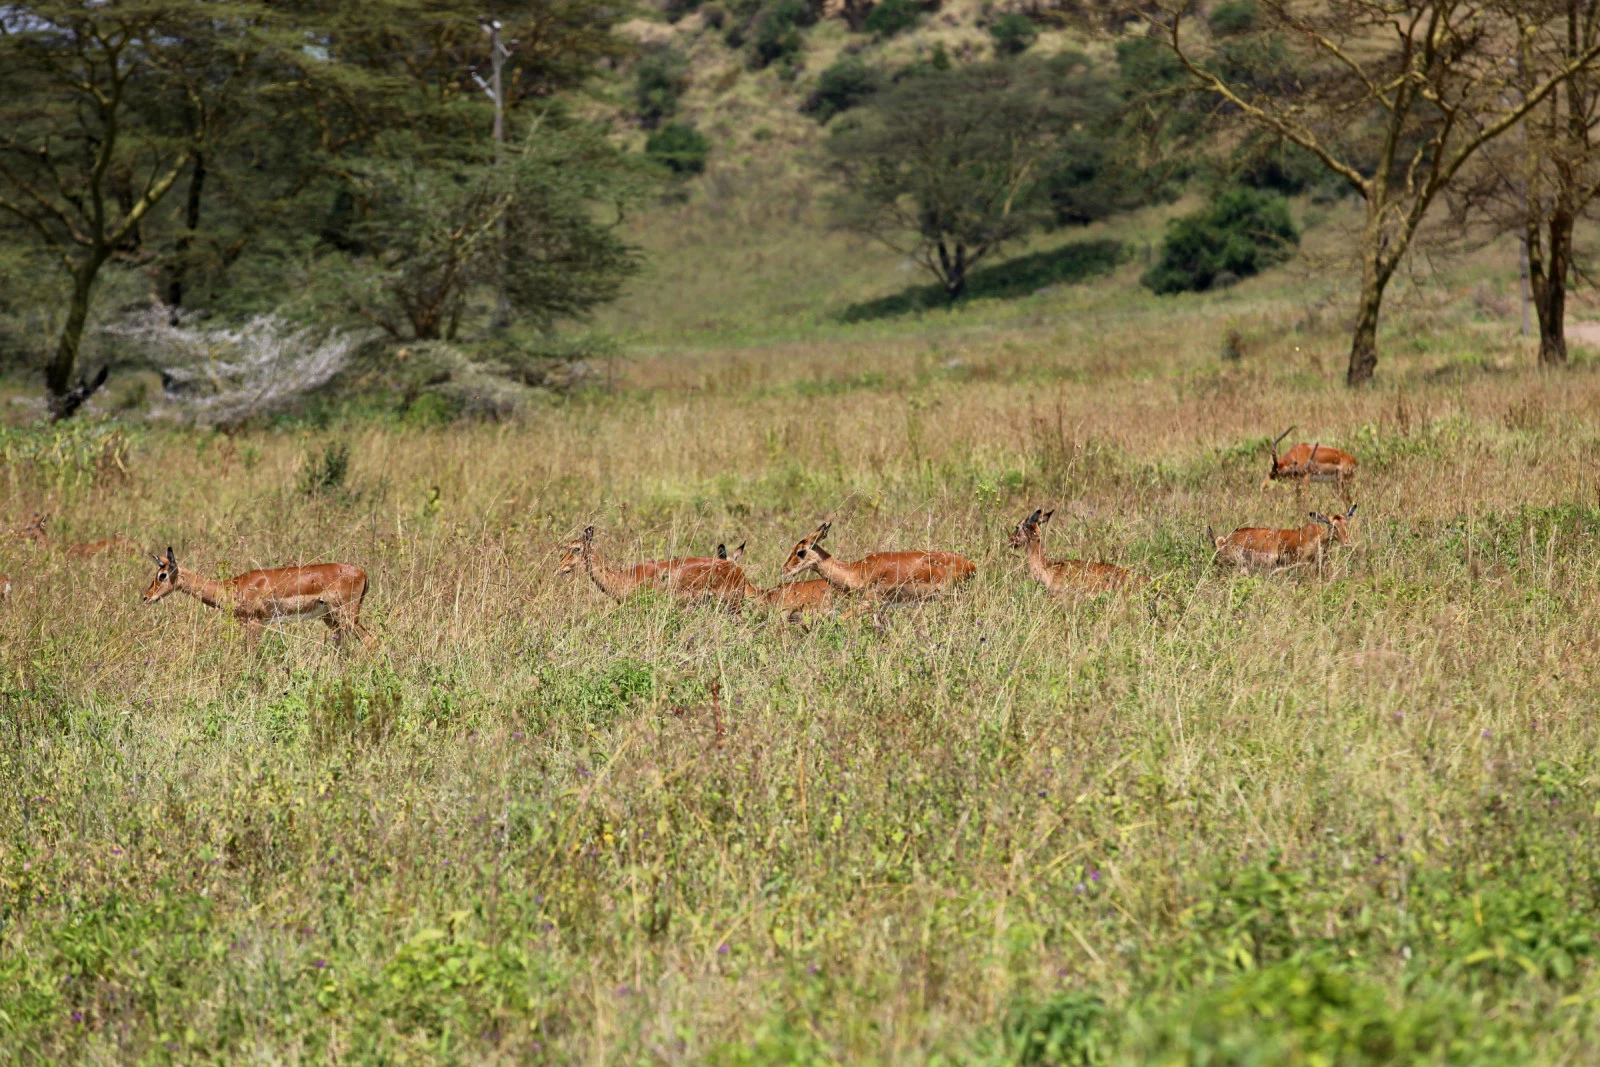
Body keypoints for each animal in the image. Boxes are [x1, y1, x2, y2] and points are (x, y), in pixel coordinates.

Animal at [138, 550, 374, 652]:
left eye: (162, 575)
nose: (146, 597)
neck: (232, 587)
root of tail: (363, 573)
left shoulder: (255, 623)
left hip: (347, 615)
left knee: (371, 639)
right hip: (331, 618)